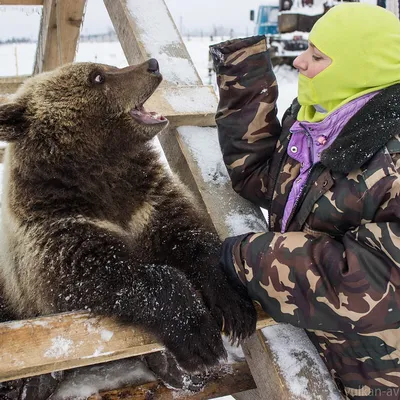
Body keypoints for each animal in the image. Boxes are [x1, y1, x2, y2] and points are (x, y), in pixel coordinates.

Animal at [0, 58, 256, 388]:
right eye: (97, 76)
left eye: (107, 65)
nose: (152, 64)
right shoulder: (57, 225)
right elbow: (103, 272)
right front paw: (198, 338)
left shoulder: (147, 202)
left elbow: (190, 235)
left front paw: (235, 307)